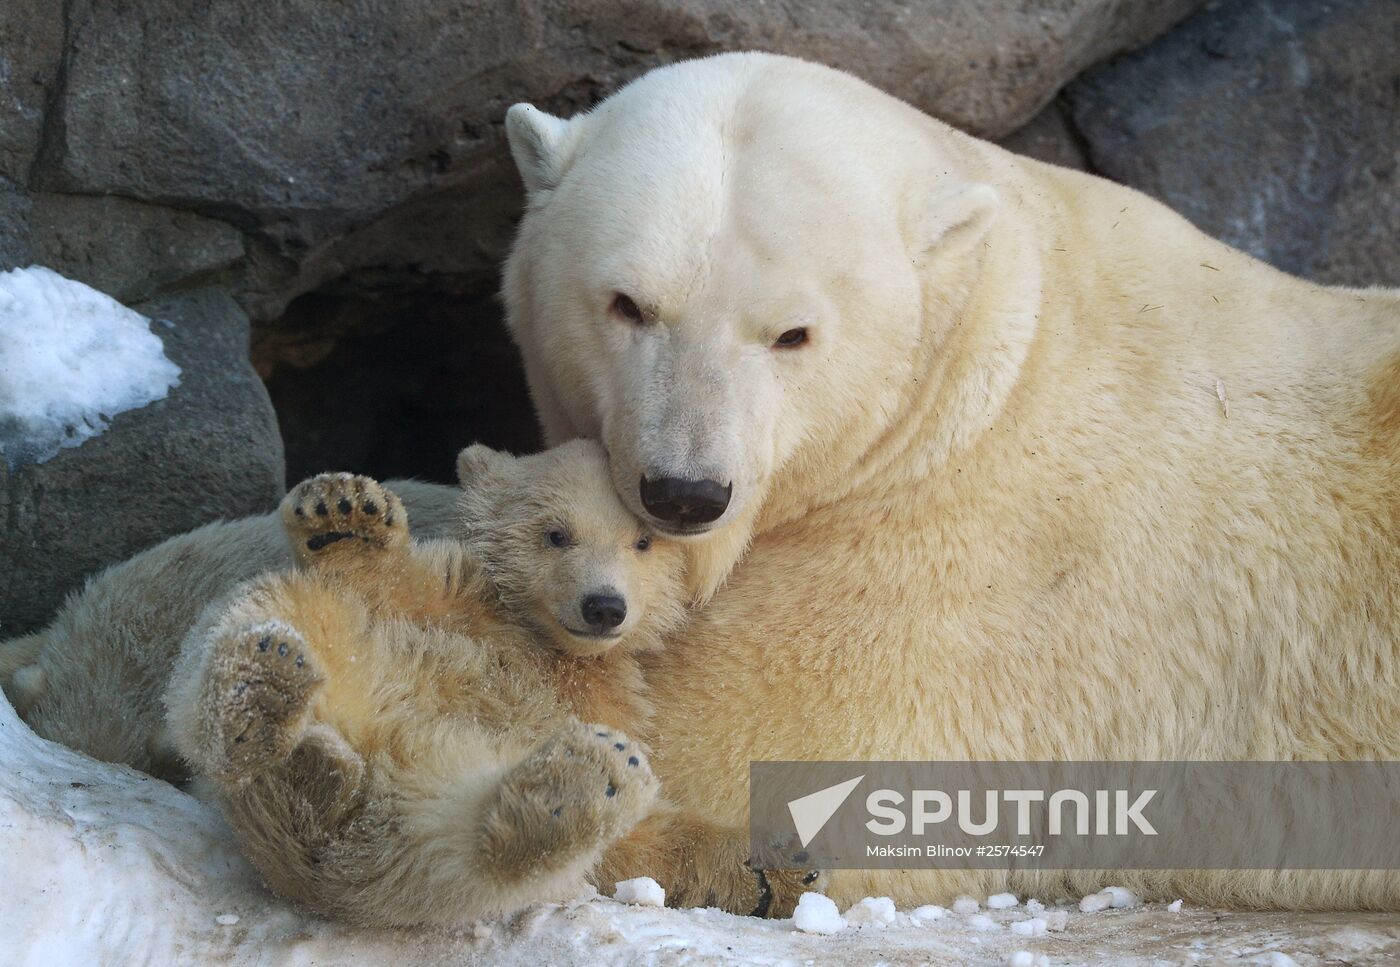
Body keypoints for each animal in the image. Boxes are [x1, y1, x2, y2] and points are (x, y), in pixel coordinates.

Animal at [163, 441, 813, 926]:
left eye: (643, 542)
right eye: (555, 534)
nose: (604, 606)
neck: (551, 648)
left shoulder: (611, 700)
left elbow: (643, 843)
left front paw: (778, 870)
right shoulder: (460, 599)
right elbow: (386, 586)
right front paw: (342, 515)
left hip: (429, 796)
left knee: (451, 853)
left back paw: (576, 788)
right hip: (337, 657)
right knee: (267, 617)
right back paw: (261, 701)